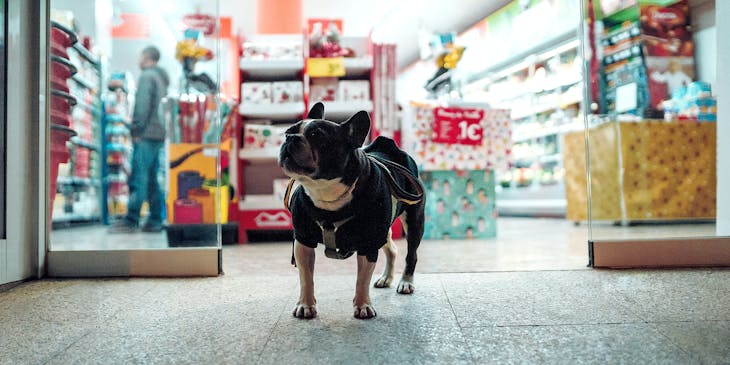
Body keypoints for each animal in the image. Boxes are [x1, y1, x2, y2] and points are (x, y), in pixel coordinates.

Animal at [278, 102, 426, 318]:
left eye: (317, 136)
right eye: (288, 131)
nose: (290, 138)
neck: (325, 191)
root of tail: (389, 145)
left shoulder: (368, 244)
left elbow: (362, 279)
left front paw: (363, 305)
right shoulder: (303, 241)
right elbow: (306, 277)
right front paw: (305, 305)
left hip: (414, 221)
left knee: (411, 254)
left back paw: (406, 282)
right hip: (383, 231)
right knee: (392, 250)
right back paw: (386, 278)